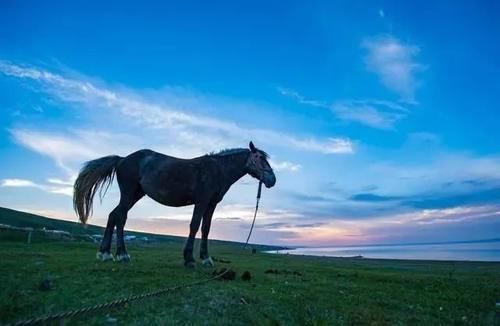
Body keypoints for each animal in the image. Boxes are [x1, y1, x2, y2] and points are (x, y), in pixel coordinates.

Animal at [73, 141, 278, 266]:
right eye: (260, 158)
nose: (272, 180)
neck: (217, 170)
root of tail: (122, 159)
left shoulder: (211, 204)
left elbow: (206, 229)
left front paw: (206, 259)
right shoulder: (202, 201)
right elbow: (195, 225)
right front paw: (189, 259)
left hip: (136, 194)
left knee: (113, 215)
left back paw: (105, 253)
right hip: (128, 192)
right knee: (121, 217)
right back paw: (122, 254)